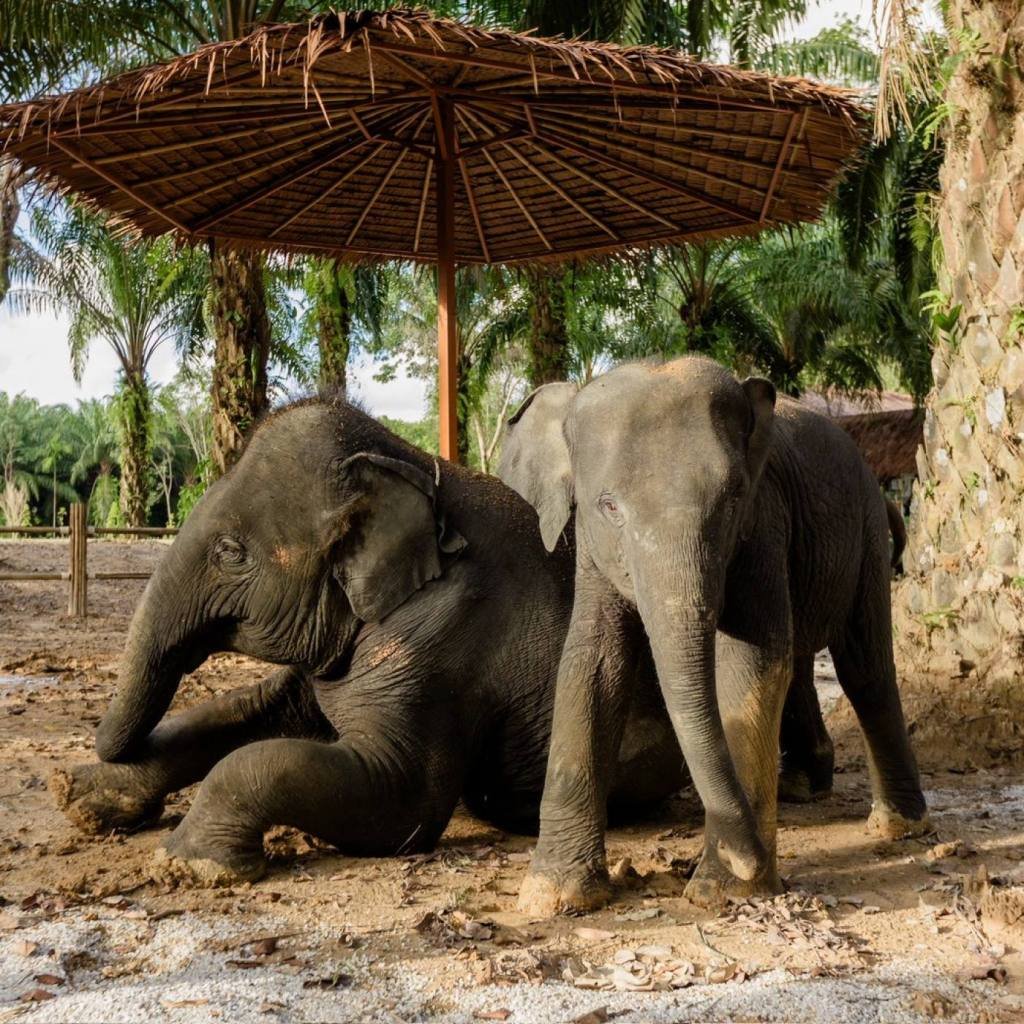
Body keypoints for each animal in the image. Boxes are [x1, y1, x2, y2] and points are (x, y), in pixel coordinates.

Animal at [51, 397, 692, 884]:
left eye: (230, 553)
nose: (81, 761)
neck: (409, 465)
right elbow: (249, 710)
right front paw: (81, 798)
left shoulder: (446, 638)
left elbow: (405, 799)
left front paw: (191, 863)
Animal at [498, 356, 927, 915]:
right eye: (608, 506)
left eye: (734, 497)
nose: (748, 856)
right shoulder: (591, 551)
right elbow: (590, 663)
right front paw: (552, 894)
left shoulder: (763, 521)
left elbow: (748, 663)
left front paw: (727, 888)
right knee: (807, 663)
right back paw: (801, 789)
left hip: (868, 534)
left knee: (865, 669)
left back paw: (899, 825)